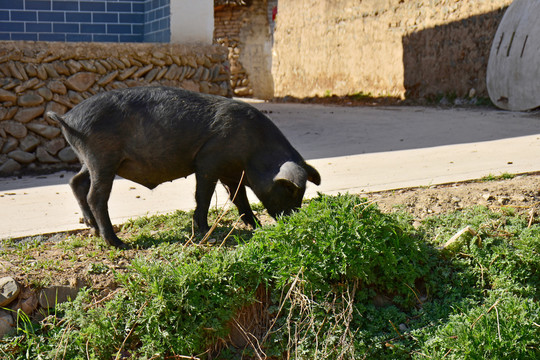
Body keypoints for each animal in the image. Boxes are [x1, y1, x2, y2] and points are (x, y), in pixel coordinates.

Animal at [47, 86, 320, 249]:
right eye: (290, 190)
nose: (294, 220)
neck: (255, 150)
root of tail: (68, 118)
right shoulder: (209, 160)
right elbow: (204, 195)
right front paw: (205, 231)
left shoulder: (232, 173)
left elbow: (239, 199)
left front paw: (257, 227)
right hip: (102, 157)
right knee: (96, 195)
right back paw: (117, 243)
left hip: (89, 159)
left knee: (76, 182)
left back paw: (92, 229)